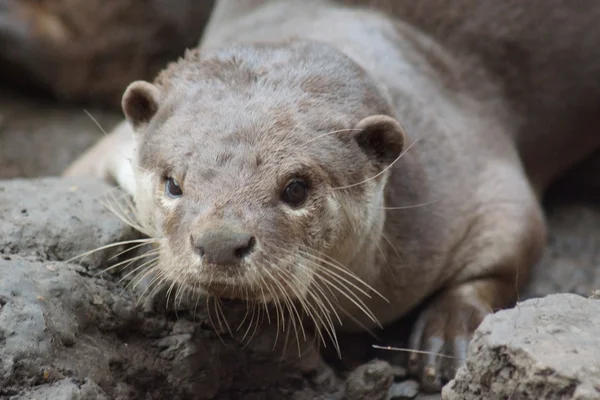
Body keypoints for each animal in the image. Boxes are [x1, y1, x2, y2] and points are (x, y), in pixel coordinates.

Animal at [62, 0, 600, 394]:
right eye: (173, 182)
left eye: (296, 189)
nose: (219, 243)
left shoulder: (476, 168)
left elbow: (511, 247)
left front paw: (448, 339)